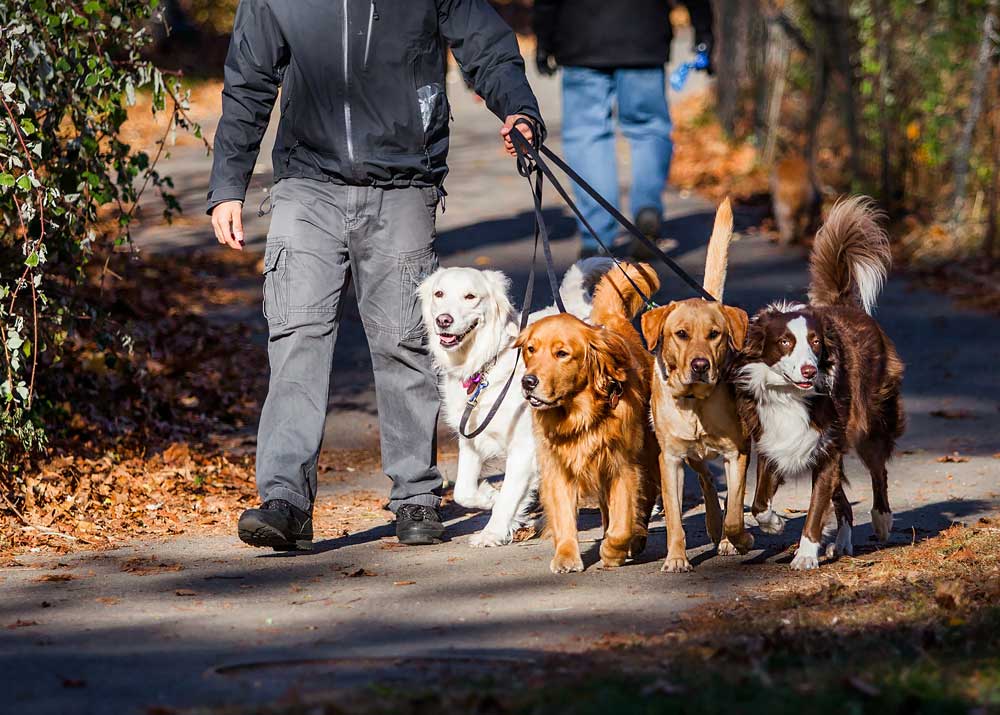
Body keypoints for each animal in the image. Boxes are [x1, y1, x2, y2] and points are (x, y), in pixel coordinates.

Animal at [418, 260, 612, 544]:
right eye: (439, 294)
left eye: (470, 296)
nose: (443, 320)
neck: (486, 364)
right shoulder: (471, 439)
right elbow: (464, 491)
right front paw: (490, 496)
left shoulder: (524, 448)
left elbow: (509, 495)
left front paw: (491, 532)